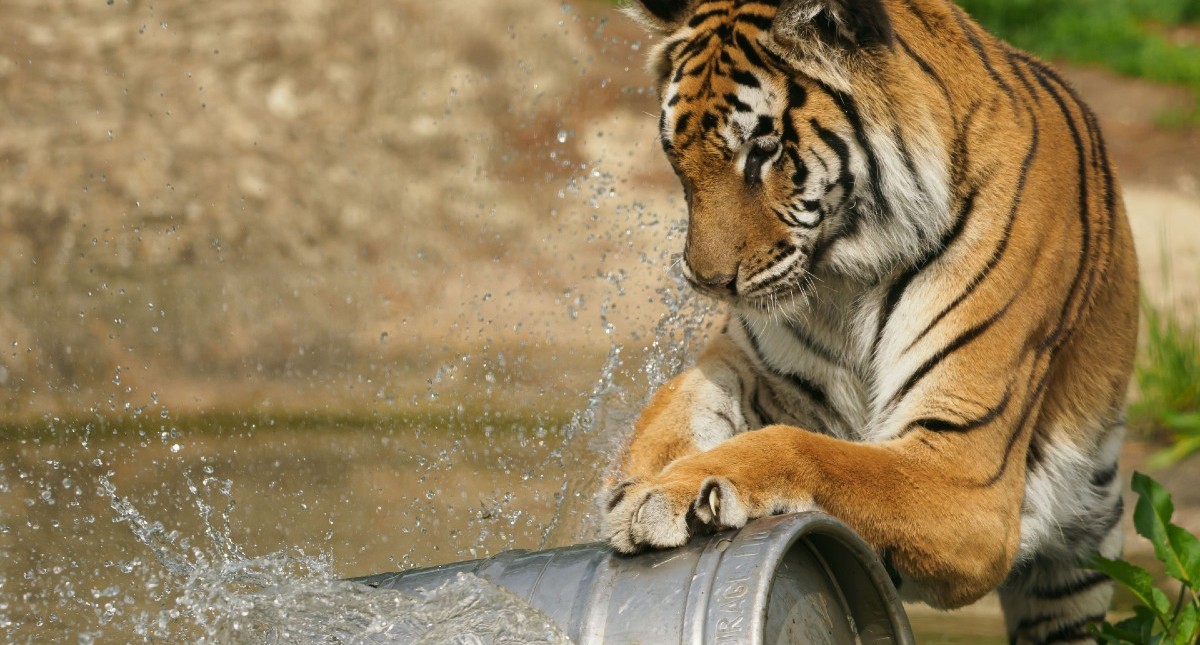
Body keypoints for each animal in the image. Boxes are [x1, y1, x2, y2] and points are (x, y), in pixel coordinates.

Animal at [604, 1, 1137, 637]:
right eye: (673, 151)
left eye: (763, 150)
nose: (706, 281)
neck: (847, 276)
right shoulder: (752, 365)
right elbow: (676, 401)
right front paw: (635, 482)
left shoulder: (964, 471)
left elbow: (801, 448)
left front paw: (666, 495)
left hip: (1076, 571)